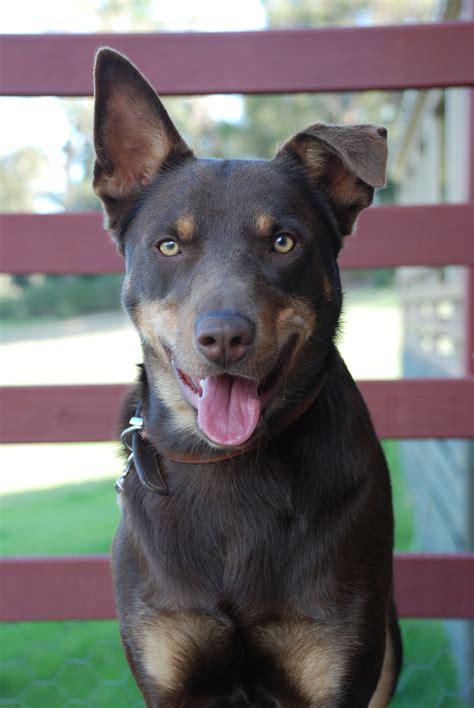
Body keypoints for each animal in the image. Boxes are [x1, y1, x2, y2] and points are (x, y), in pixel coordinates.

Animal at [93, 47, 404, 704]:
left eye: (283, 242)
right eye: (168, 246)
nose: (224, 338)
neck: (229, 467)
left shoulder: (337, 661)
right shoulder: (167, 668)